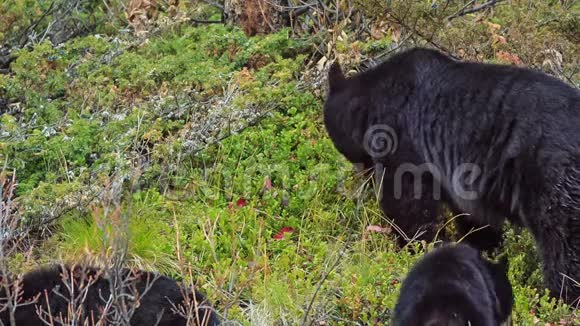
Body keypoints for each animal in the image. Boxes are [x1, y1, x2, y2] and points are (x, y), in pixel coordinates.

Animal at [324, 47, 580, 302]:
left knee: (562, 242)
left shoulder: (400, 138)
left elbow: (407, 201)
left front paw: (415, 246)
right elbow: (474, 218)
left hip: (552, 175)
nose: (361, 176)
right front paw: (483, 251)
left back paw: (559, 296)